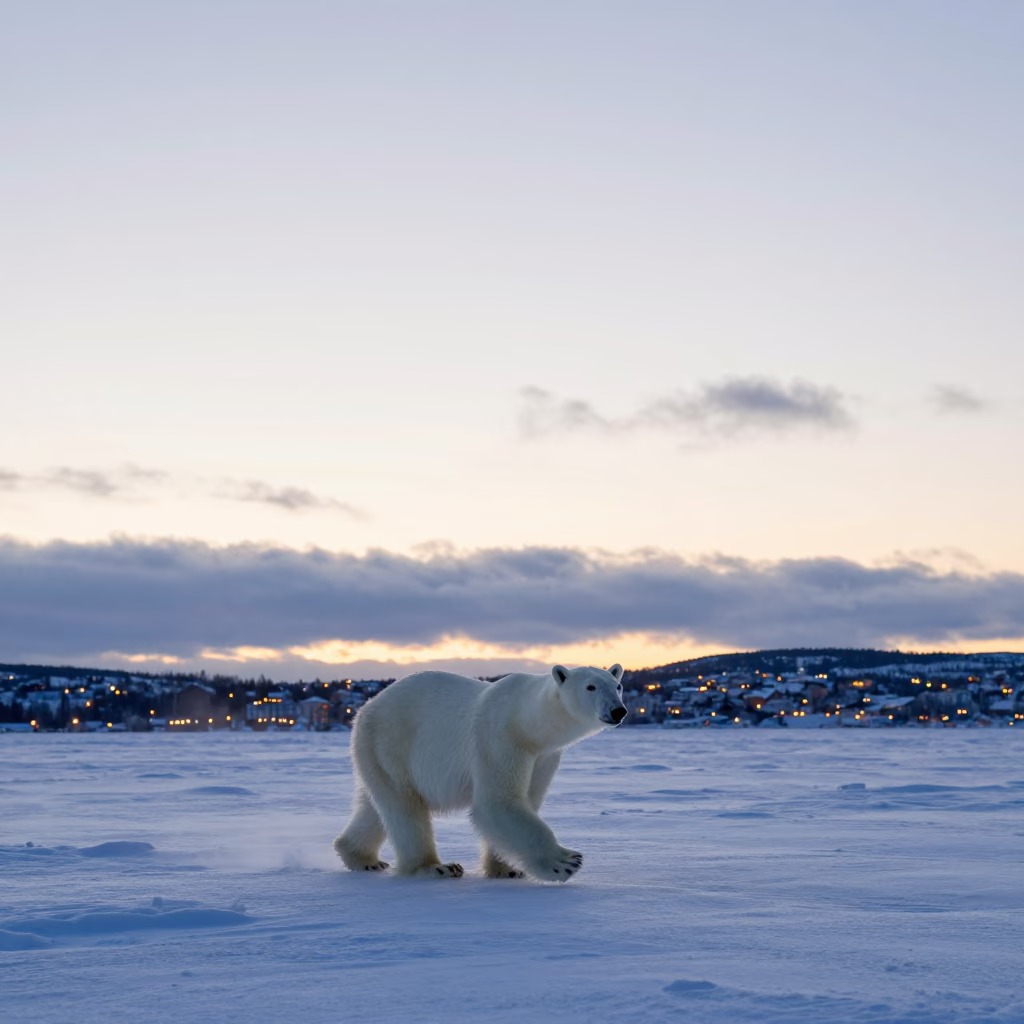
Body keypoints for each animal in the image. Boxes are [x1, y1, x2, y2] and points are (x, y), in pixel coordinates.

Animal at [333, 664, 628, 881]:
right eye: (591, 687)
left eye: (617, 685)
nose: (618, 710)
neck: (527, 721)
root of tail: (365, 708)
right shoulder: (500, 739)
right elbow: (498, 803)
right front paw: (565, 862)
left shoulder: (543, 756)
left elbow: (527, 800)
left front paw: (507, 869)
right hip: (391, 744)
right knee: (406, 809)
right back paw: (436, 868)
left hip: (377, 757)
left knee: (376, 807)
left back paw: (361, 857)